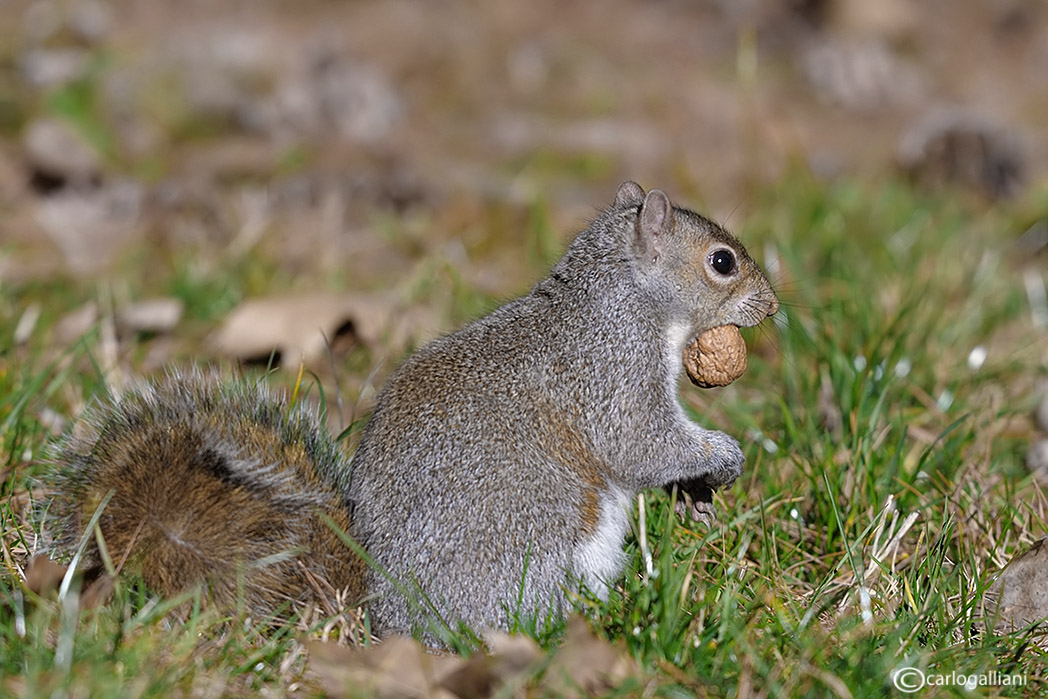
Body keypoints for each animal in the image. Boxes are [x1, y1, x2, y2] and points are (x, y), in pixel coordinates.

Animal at [40, 183, 779, 637]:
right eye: (721, 262)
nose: (773, 306)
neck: (620, 299)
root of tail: (382, 613)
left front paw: (698, 493)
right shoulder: (610, 376)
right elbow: (642, 443)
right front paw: (723, 455)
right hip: (530, 557)